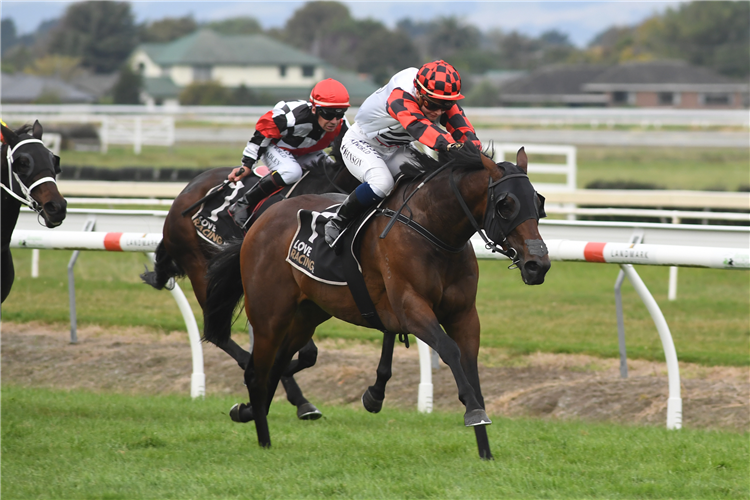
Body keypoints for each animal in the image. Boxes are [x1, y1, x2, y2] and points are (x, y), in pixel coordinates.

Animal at [206, 143, 552, 458]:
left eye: (539, 201)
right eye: (506, 204)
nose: (538, 265)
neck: (433, 229)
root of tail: (260, 221)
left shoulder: (464, 314)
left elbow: (470, 365)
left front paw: (485, 449)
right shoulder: (411, 308)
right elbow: (449, 350)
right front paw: (474, 413)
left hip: (307, 314)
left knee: (277, 366)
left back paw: (252, 413)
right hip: (269, 314)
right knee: (256, 373)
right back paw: (263, 438)